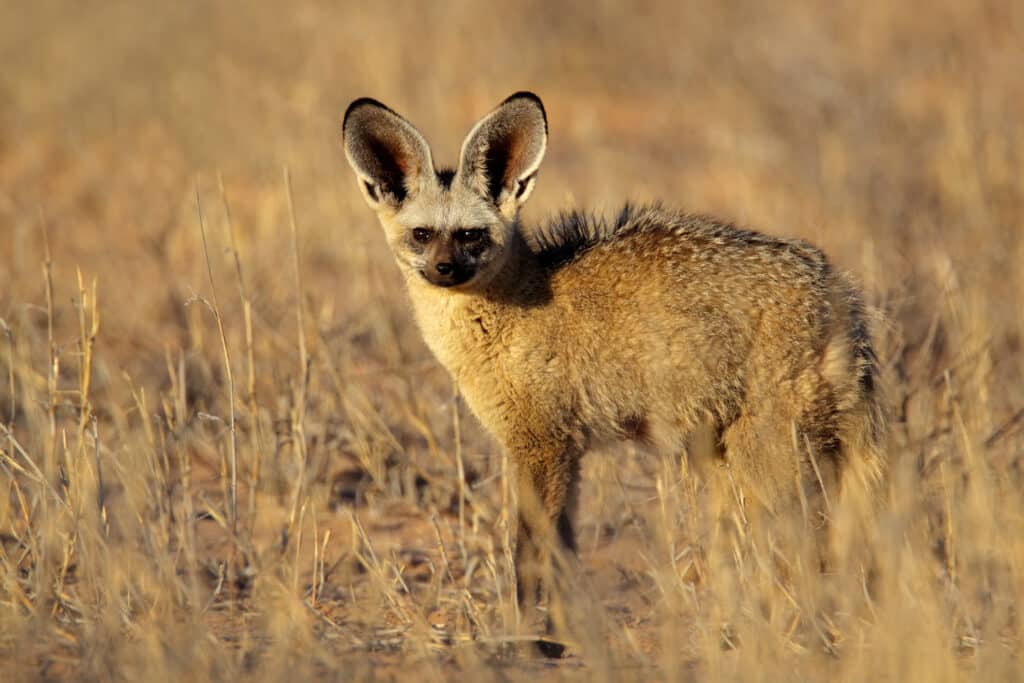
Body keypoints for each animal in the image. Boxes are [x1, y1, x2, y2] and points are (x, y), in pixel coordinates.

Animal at [339, 90, 884, 655]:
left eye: (472, 236)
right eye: (422, 235)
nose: (444, 270)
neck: (509, 316)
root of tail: (838, 289)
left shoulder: (541, 447)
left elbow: (528, 555)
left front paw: (519, 638)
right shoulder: (566, 453)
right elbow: (562, 554)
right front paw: (563, 637)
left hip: (770, 462)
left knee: (815, 549)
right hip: (741, 462)